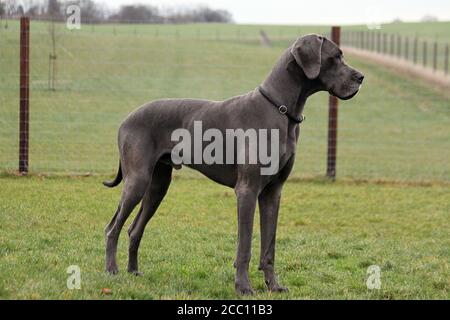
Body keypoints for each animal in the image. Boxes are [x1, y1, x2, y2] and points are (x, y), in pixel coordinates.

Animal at [103, 34, 364, 296]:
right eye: (335, 56)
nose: (361, 77)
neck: (280, 110)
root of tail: (125, 119)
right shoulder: (247, 190)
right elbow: (245, 245)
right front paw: (243, 286)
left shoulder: (273, 192)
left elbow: (269, 246)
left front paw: (273, 285)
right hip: (137, 181)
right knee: (112, 227)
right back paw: (112, 270)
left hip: (158, 186)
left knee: (134, 229)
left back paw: (133, 271)